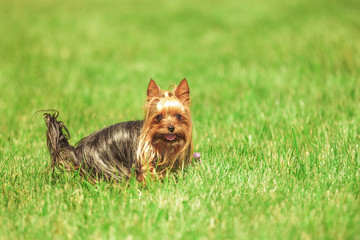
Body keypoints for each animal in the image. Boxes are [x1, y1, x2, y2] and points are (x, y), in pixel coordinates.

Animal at [43, 79, 194, 182]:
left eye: (178, 116)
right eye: (159, 117)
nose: (171, 128)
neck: (159, 142)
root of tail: (77, 151)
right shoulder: (143, 160)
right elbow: (148, 172)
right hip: (107, 166)